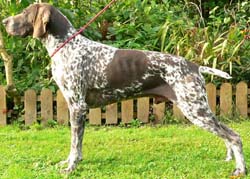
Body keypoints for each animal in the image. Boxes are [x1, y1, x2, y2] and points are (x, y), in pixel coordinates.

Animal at [1, 3, 247, 176]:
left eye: (24, 12)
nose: (4, 21)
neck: (66, 46)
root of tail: (195, 66)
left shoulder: (77, 107)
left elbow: (74, 144)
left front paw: (70, 168)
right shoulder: (77, 107)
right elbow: (76, 146)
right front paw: (70, 163)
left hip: (195, 110)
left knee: (234, 136)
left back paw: (240, 170)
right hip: (199, 109)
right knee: (228, 135)